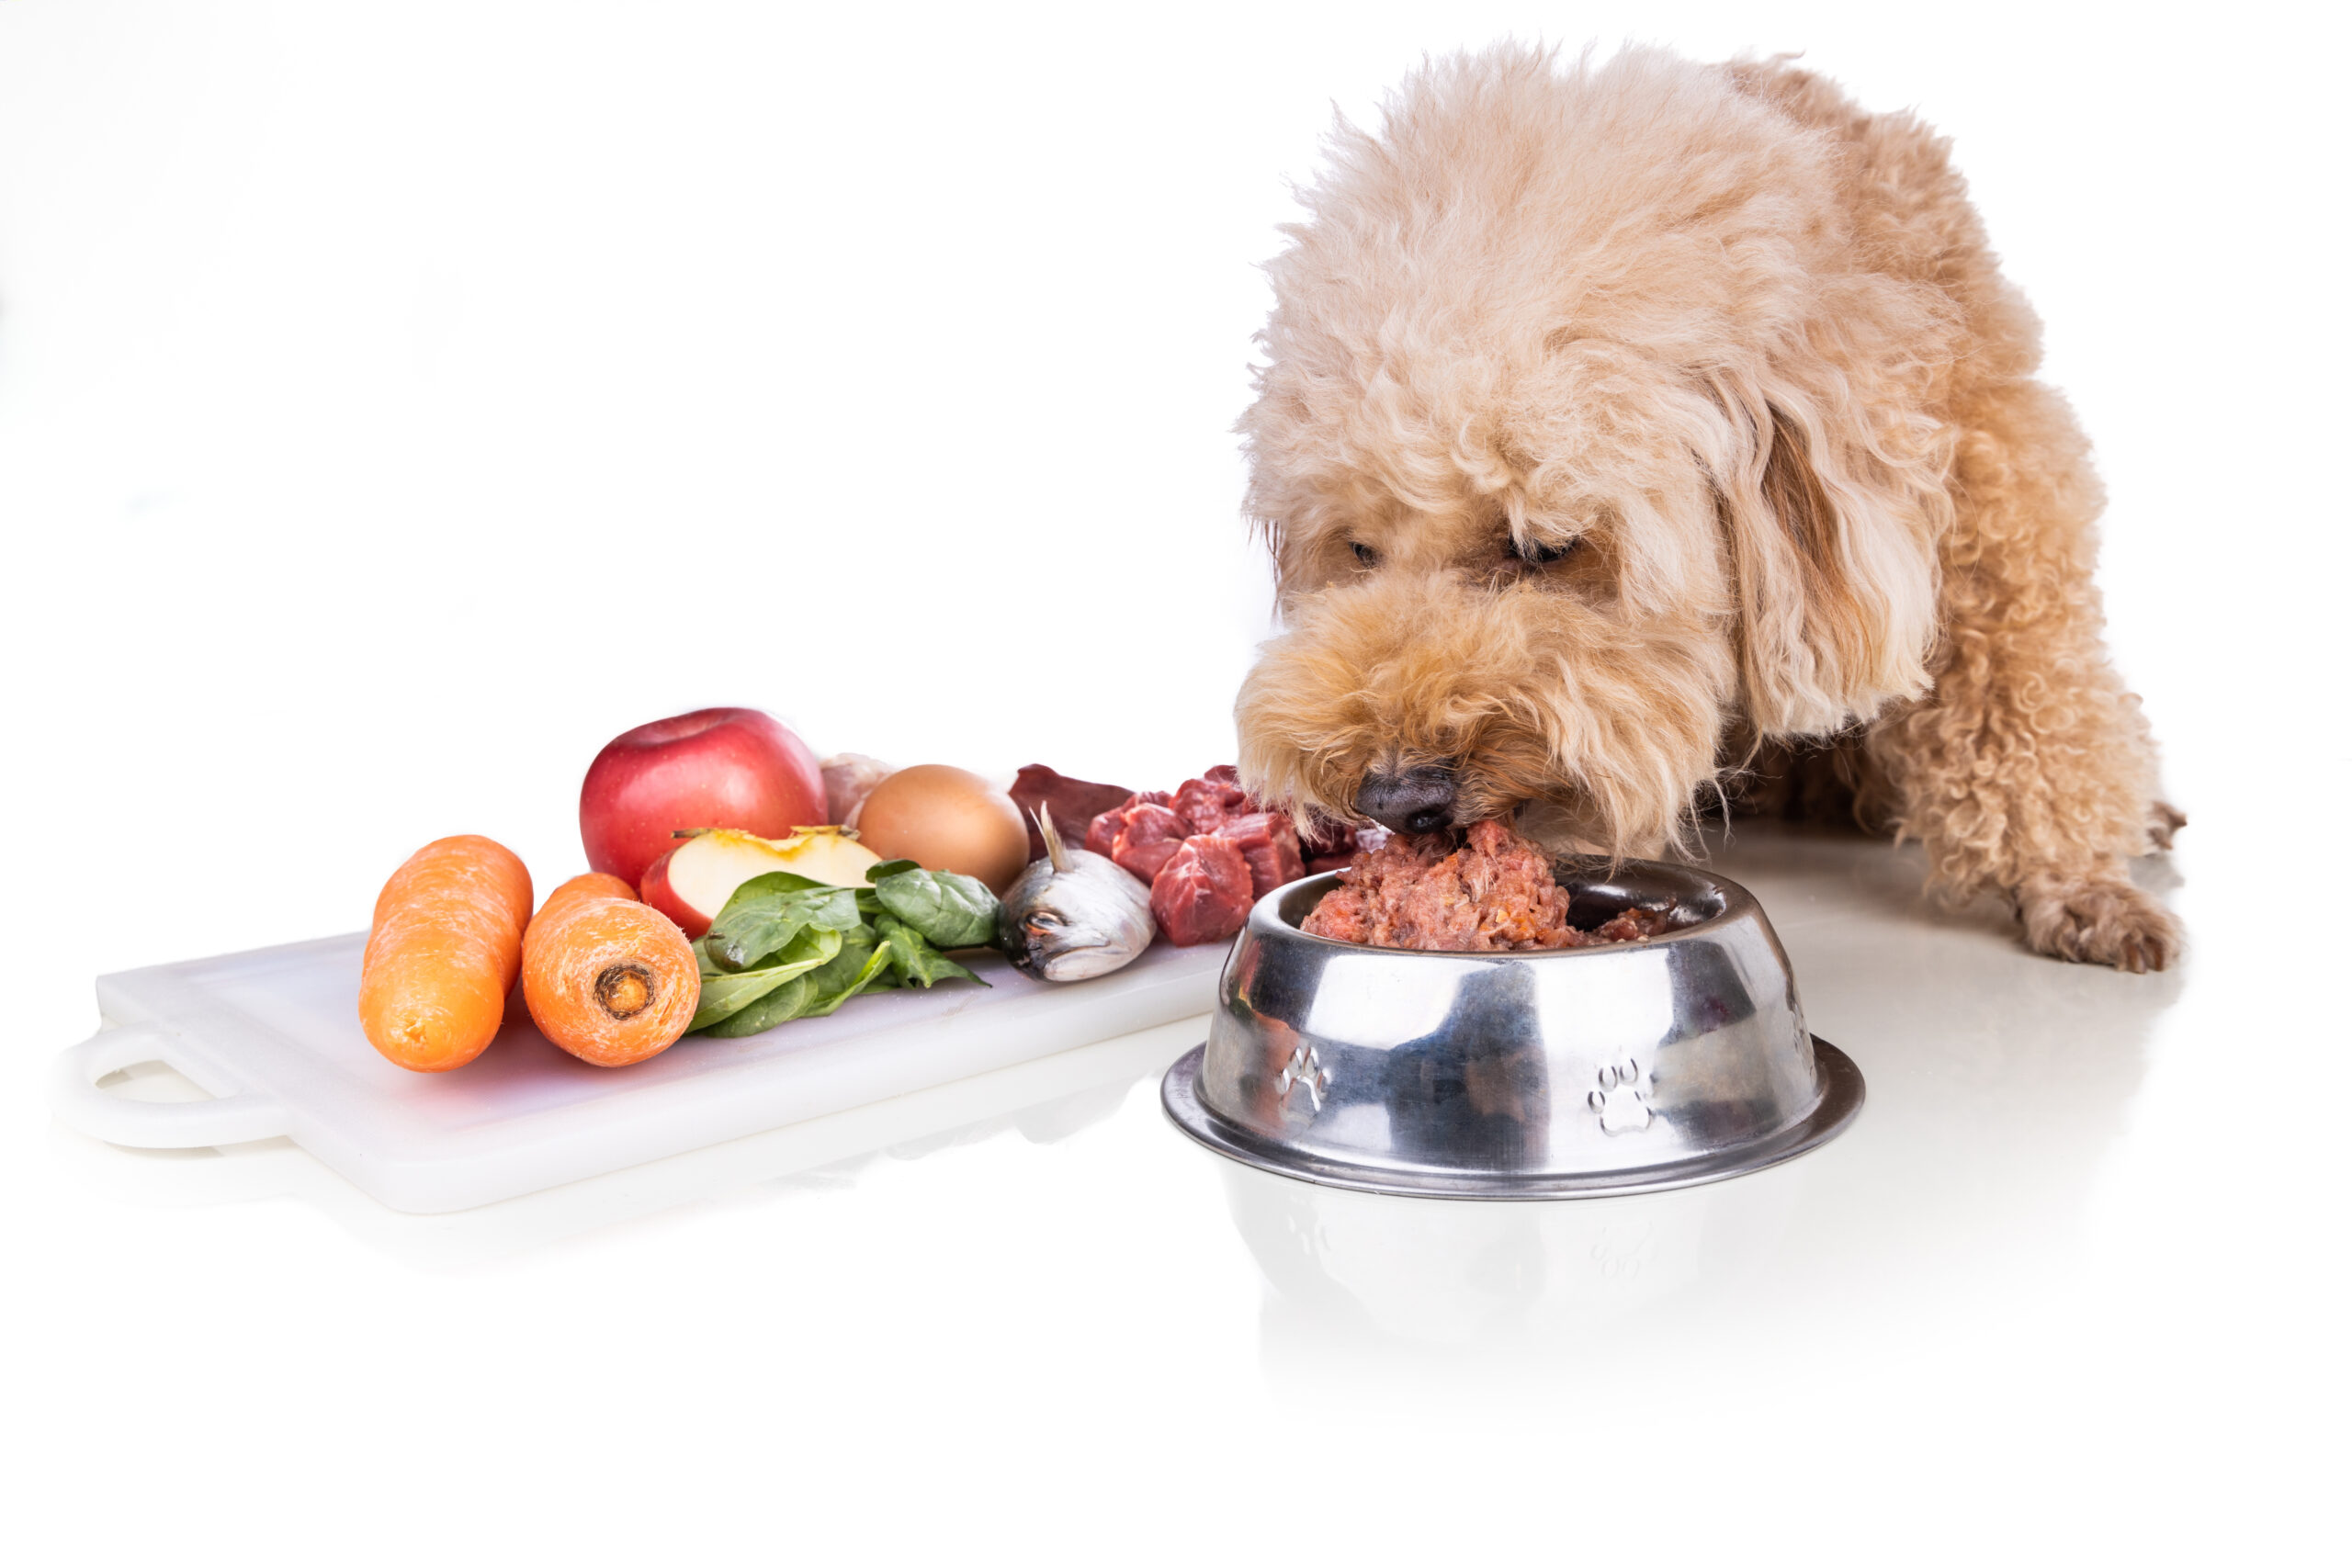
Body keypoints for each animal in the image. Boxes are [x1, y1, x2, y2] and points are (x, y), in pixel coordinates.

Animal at [1241, 46, 2173, 968]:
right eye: (1359, 551)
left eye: (1541, 548)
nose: (1396, 795)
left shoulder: (1996, 480)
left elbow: (2026, 688)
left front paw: (2078, 879)